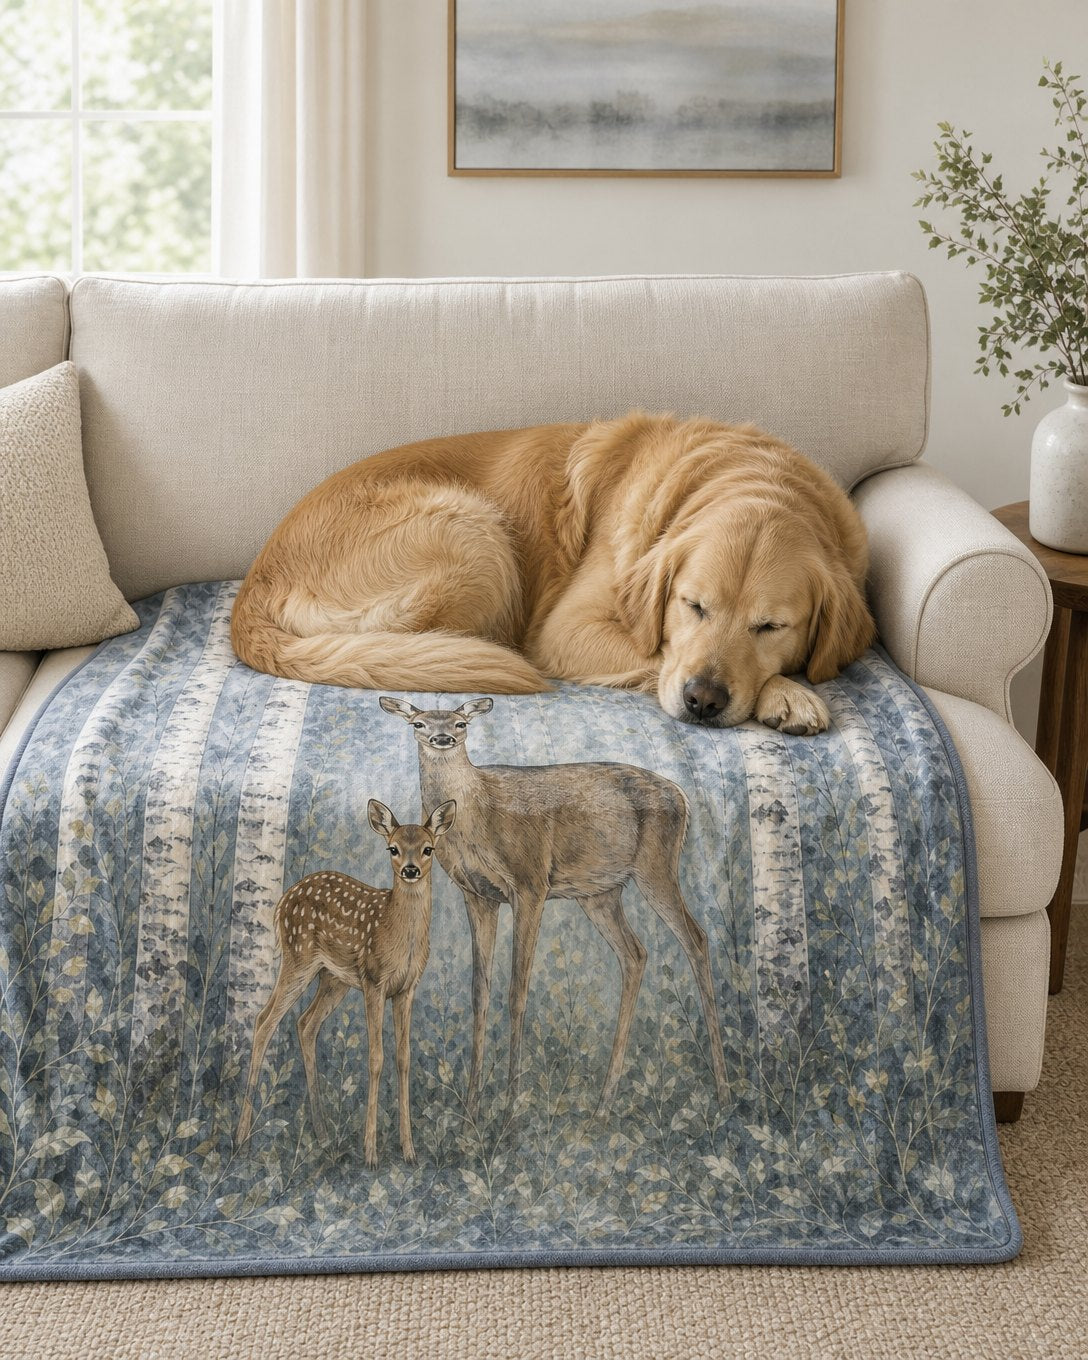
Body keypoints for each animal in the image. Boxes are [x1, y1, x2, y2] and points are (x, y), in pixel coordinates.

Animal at [236, 798, 456, 1168]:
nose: (411, 870)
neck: (399, 936)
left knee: (305, 1023)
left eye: (428, 849)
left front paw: (409, 1151)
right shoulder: (373, 980)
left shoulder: (407, 988)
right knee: (264, 1020)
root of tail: (281, 903)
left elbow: (404, 1057)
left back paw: (323, 1135)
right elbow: (375, 1057)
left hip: (332, 979)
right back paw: (242, 1137)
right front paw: (371, 1154)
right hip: (298, 959)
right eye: (393, 848)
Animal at [380, 695, 729, 1117]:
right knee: (635, 953)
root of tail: (683, 796)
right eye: (418, 724)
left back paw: (724, 1090)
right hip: (599, 892)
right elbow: (479, 993)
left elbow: (517, 992)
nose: (442, 738)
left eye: (462, 723)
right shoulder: (478, 895)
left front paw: (510, 1106)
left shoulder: (530, 883)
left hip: (655, 866)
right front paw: (471, 1108)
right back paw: (603, 1104)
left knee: (696, 938)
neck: (477, 818)